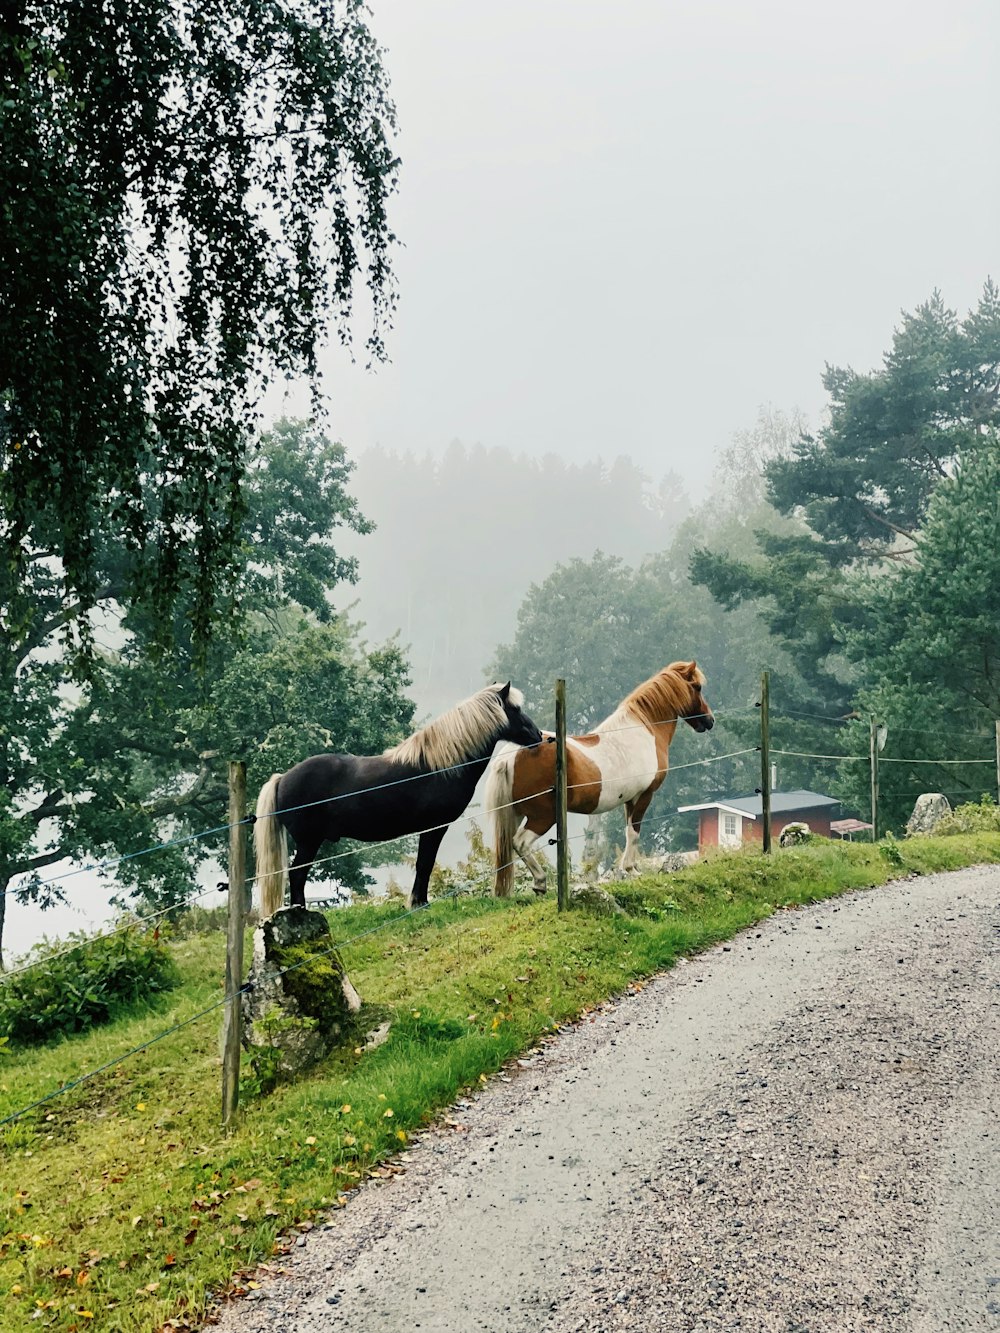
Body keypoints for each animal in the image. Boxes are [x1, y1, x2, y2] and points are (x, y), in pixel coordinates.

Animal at [254, 682, 544, 911]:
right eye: (515, 709)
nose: (539, 735)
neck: (441, 765)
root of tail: (282, 778)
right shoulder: (434, 828)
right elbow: (425, 864)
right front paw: (420, 903)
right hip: (308, 842)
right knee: (297, 875)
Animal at [485, 658, 714, 895]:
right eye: (697, 687)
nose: (709, 721)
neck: (644, 729)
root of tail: (511, 754)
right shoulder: (644, 795)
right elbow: (634, 831)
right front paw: (631, 870)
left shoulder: (630, 800)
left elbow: (628, 831)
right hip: (543, 816)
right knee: (520, 842)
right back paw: (540, 882)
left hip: (517, 812)